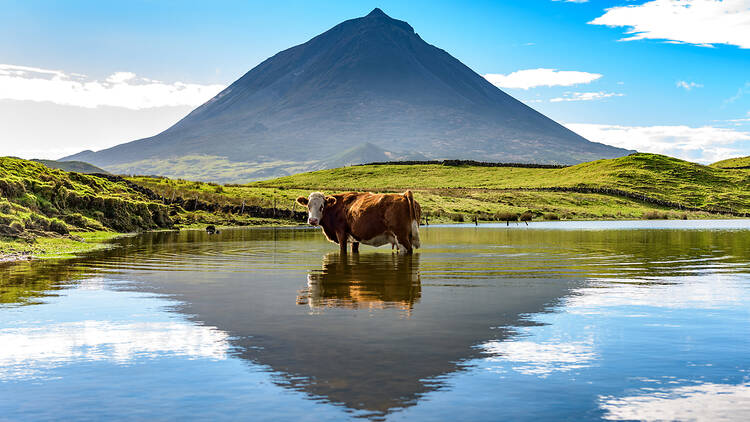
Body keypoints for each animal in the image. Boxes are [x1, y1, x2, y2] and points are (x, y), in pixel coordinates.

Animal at [296, 190, 424, 254]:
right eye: (308, 206)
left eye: (322, 206)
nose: (312, 220)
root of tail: (404, 195)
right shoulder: (354, 238)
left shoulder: (341, 233)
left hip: (401, 236)